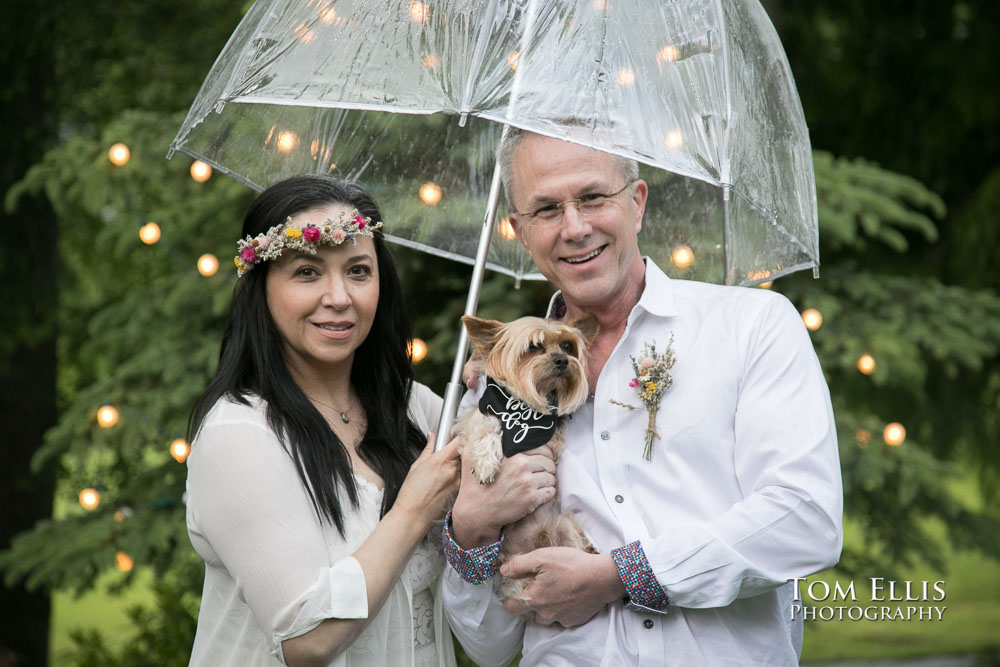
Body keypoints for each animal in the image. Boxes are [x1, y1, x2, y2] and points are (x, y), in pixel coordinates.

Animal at [458, 316, 596, 608]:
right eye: (533, 347)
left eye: (568, 346)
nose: (562, 360)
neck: (525, 411)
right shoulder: (471, 420)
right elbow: (487, 422)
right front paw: (486, 461)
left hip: (565, 530)